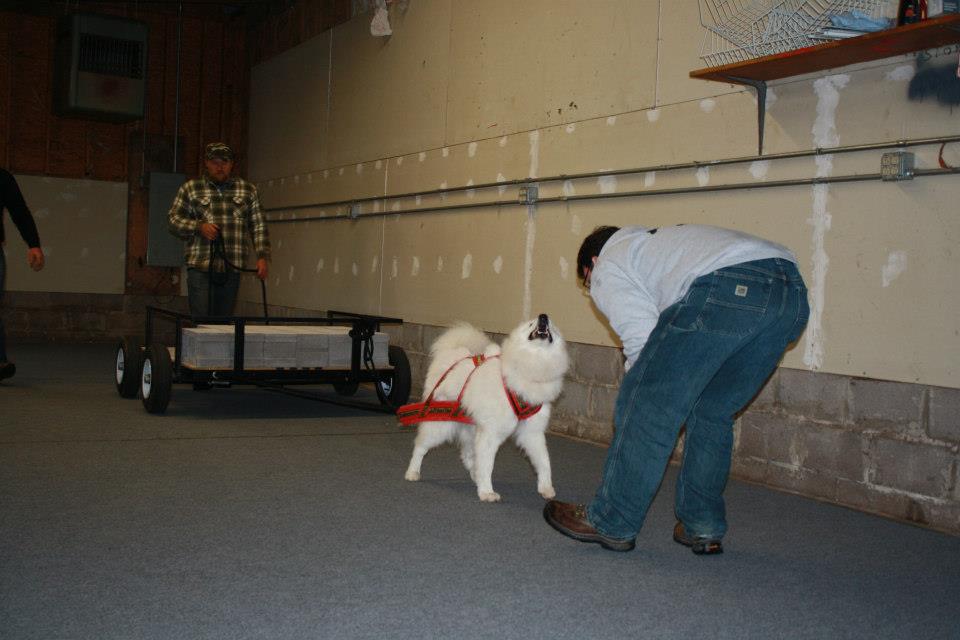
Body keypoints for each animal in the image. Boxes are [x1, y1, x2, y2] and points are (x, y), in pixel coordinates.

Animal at [402, 312, 568, 502]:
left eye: (552, 325)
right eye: (531, 323)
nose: (543, 317)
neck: (534, 364)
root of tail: (449, 356)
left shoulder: (532, 433)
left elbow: (544, 462)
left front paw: (546, 488)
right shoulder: (491, 432)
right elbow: (488, 464)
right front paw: (487, 492)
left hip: (470, 426)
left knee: (467, 454)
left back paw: (474, 474)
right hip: (440, 425)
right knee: (420, 447)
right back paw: (412, 472)